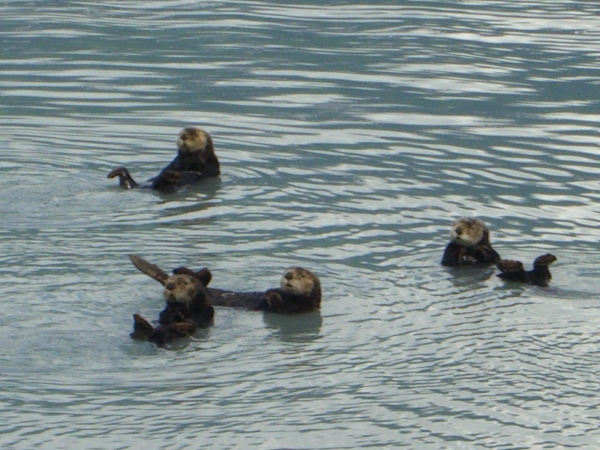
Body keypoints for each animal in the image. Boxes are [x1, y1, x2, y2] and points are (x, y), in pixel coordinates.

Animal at [129, 255, 322, 314]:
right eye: (285, 271)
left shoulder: (292, 308)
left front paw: (271, 294)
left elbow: (277, 304)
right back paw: (181, 270)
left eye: (301, 275)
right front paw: (270, 291)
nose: (288, 275)